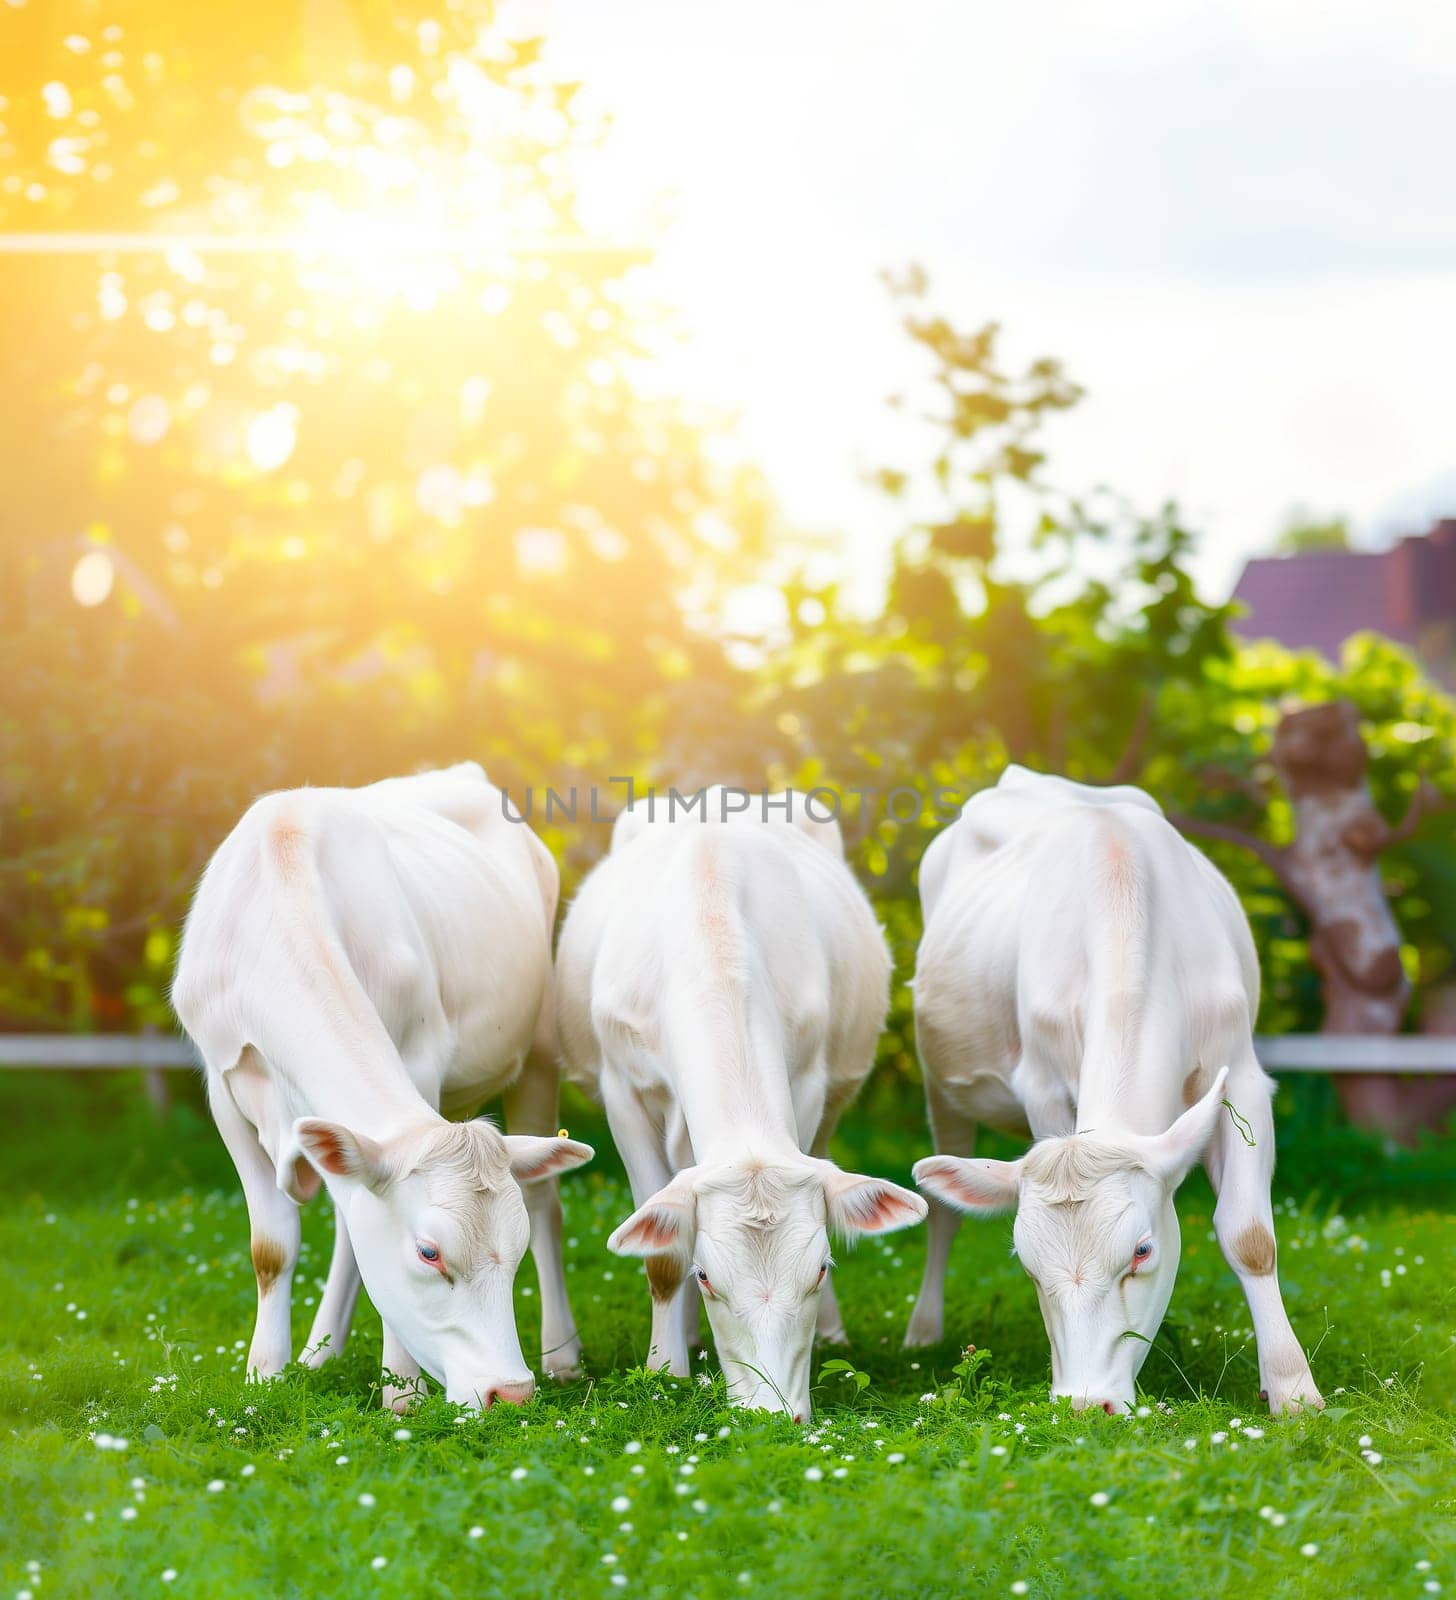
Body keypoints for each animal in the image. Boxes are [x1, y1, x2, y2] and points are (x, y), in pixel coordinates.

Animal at [173, 768, 595, 1408]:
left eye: (513, 1254)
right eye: (429, 1252)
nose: (512, 1392)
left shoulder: (418, 1065)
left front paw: (404, 1393)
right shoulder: (225, 1095)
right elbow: (273, 1246)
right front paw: (267, 1372)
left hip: (542, 1047)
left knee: (547, 1203)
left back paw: (563, 1356)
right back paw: (320, 1353)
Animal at [560, 793, 921, 1420]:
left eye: (820, 1269)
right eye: (707, 1277)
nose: (772, 1416)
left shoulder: (809, 1086)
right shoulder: (623, 1094)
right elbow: (663, 1258)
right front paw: (665, 1370)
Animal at [908, 771, 1331, 1414]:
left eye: (1142, 1251)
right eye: (1027, 1264)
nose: (1085, 1403)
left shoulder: (1242, 1076)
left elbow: (1250, 1237)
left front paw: (1293, 1390)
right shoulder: (1043, 1089)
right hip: (940, 1081)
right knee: (942, 1217)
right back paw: (924, 1330)